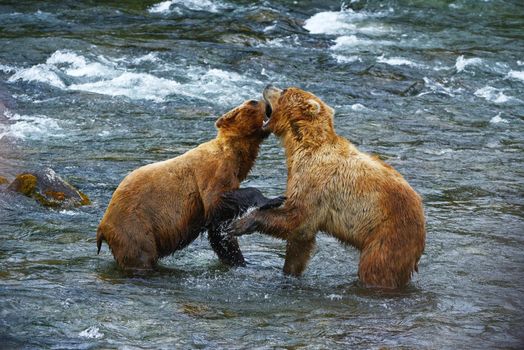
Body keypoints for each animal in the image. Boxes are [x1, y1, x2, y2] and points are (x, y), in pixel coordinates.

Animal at [95, 99, 282, 270]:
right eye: (253, 102)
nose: (267, 100)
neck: (237, 156)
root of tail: (102, 226)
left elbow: (221, 234)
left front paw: (241, 260)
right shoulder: (213, 172)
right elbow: (217, 200)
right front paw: (274, 199)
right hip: (135, 227)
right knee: (142, 255)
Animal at [231, 86, 428, 288]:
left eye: (285, 90)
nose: (269, 85)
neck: (303, 143)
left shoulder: (315, 180)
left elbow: (298, 219)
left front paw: (239, 224)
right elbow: (300, 242)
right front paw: (289, 271)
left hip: (388, 234)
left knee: (377, 267)